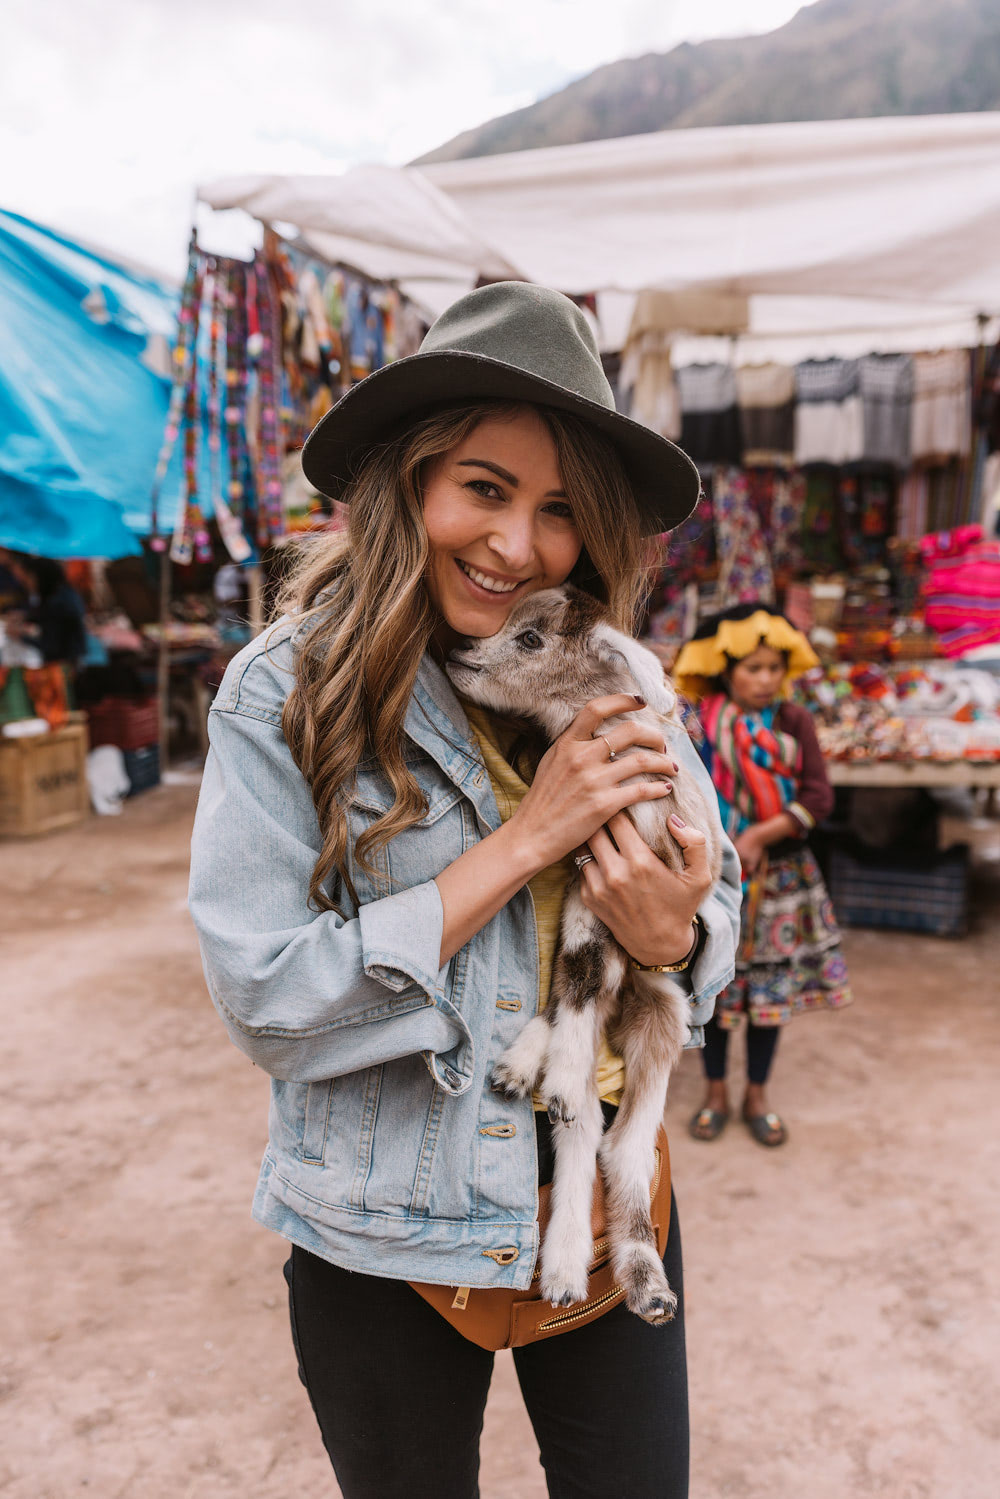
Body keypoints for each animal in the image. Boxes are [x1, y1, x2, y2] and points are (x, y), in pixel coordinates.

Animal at [449, 584, 722, 1325]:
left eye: (531, 639)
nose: (460, 648)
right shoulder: (587, 884)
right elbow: (573, 988)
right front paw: (555, 1076)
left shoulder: (612, 890)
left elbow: (577, 991)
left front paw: (563, 1080)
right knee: (588, 1121)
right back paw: (570, 1267)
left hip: (664, 1014)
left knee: (621, 1144)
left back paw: (642, 1283)